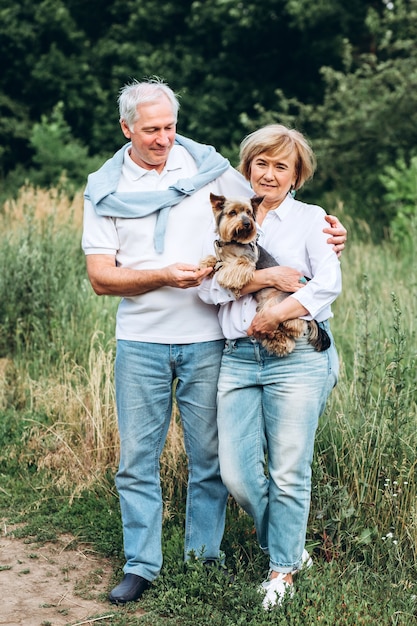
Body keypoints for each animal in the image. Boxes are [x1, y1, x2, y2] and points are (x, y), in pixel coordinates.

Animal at [200, 190, 330, 356]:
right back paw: (278, 342)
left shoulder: (247, 260)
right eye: (233, 213)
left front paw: (227, 277)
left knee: (295, 323)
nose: (247, 223)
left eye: (249, 212)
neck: (233, 242)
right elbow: (214, 259)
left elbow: (235, 266)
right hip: (263, 309)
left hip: (276, 305)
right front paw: (204, 264)